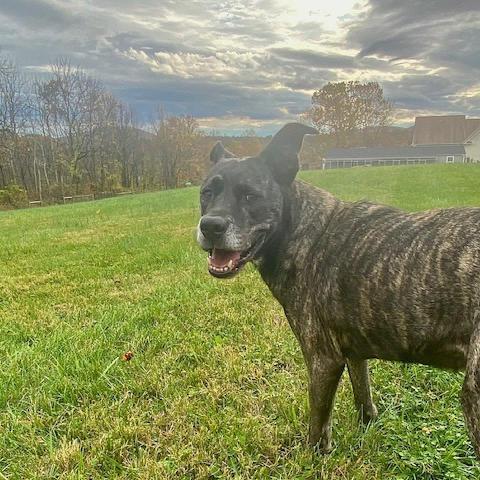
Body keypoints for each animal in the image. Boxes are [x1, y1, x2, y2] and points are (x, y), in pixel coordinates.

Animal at [195, 122, 480, 456]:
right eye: (206, 193)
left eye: (251, 195)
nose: (210, 226)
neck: (302, 229)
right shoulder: (355, 352)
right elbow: (364, 398)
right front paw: (366, 429)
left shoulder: (323, 360)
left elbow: (318, 426)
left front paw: (312, 458)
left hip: (473, 396)